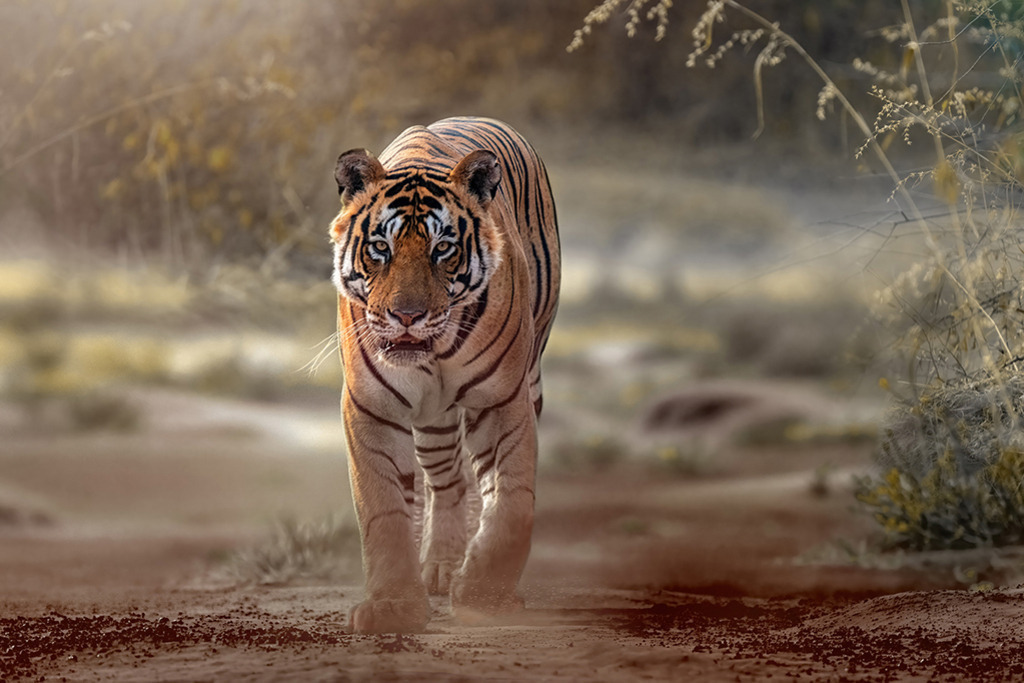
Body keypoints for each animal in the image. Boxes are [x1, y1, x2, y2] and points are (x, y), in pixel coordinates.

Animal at [329, 117, 560, 634]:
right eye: (380, 248)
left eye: (443, 250)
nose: (406, 316)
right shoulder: (371, 406)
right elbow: (383, 509)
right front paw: (394, 606)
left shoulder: (503, 401)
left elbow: (511, 500)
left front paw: (485, 595)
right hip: (432, 423)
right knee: (449, 481)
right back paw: (439, 566)